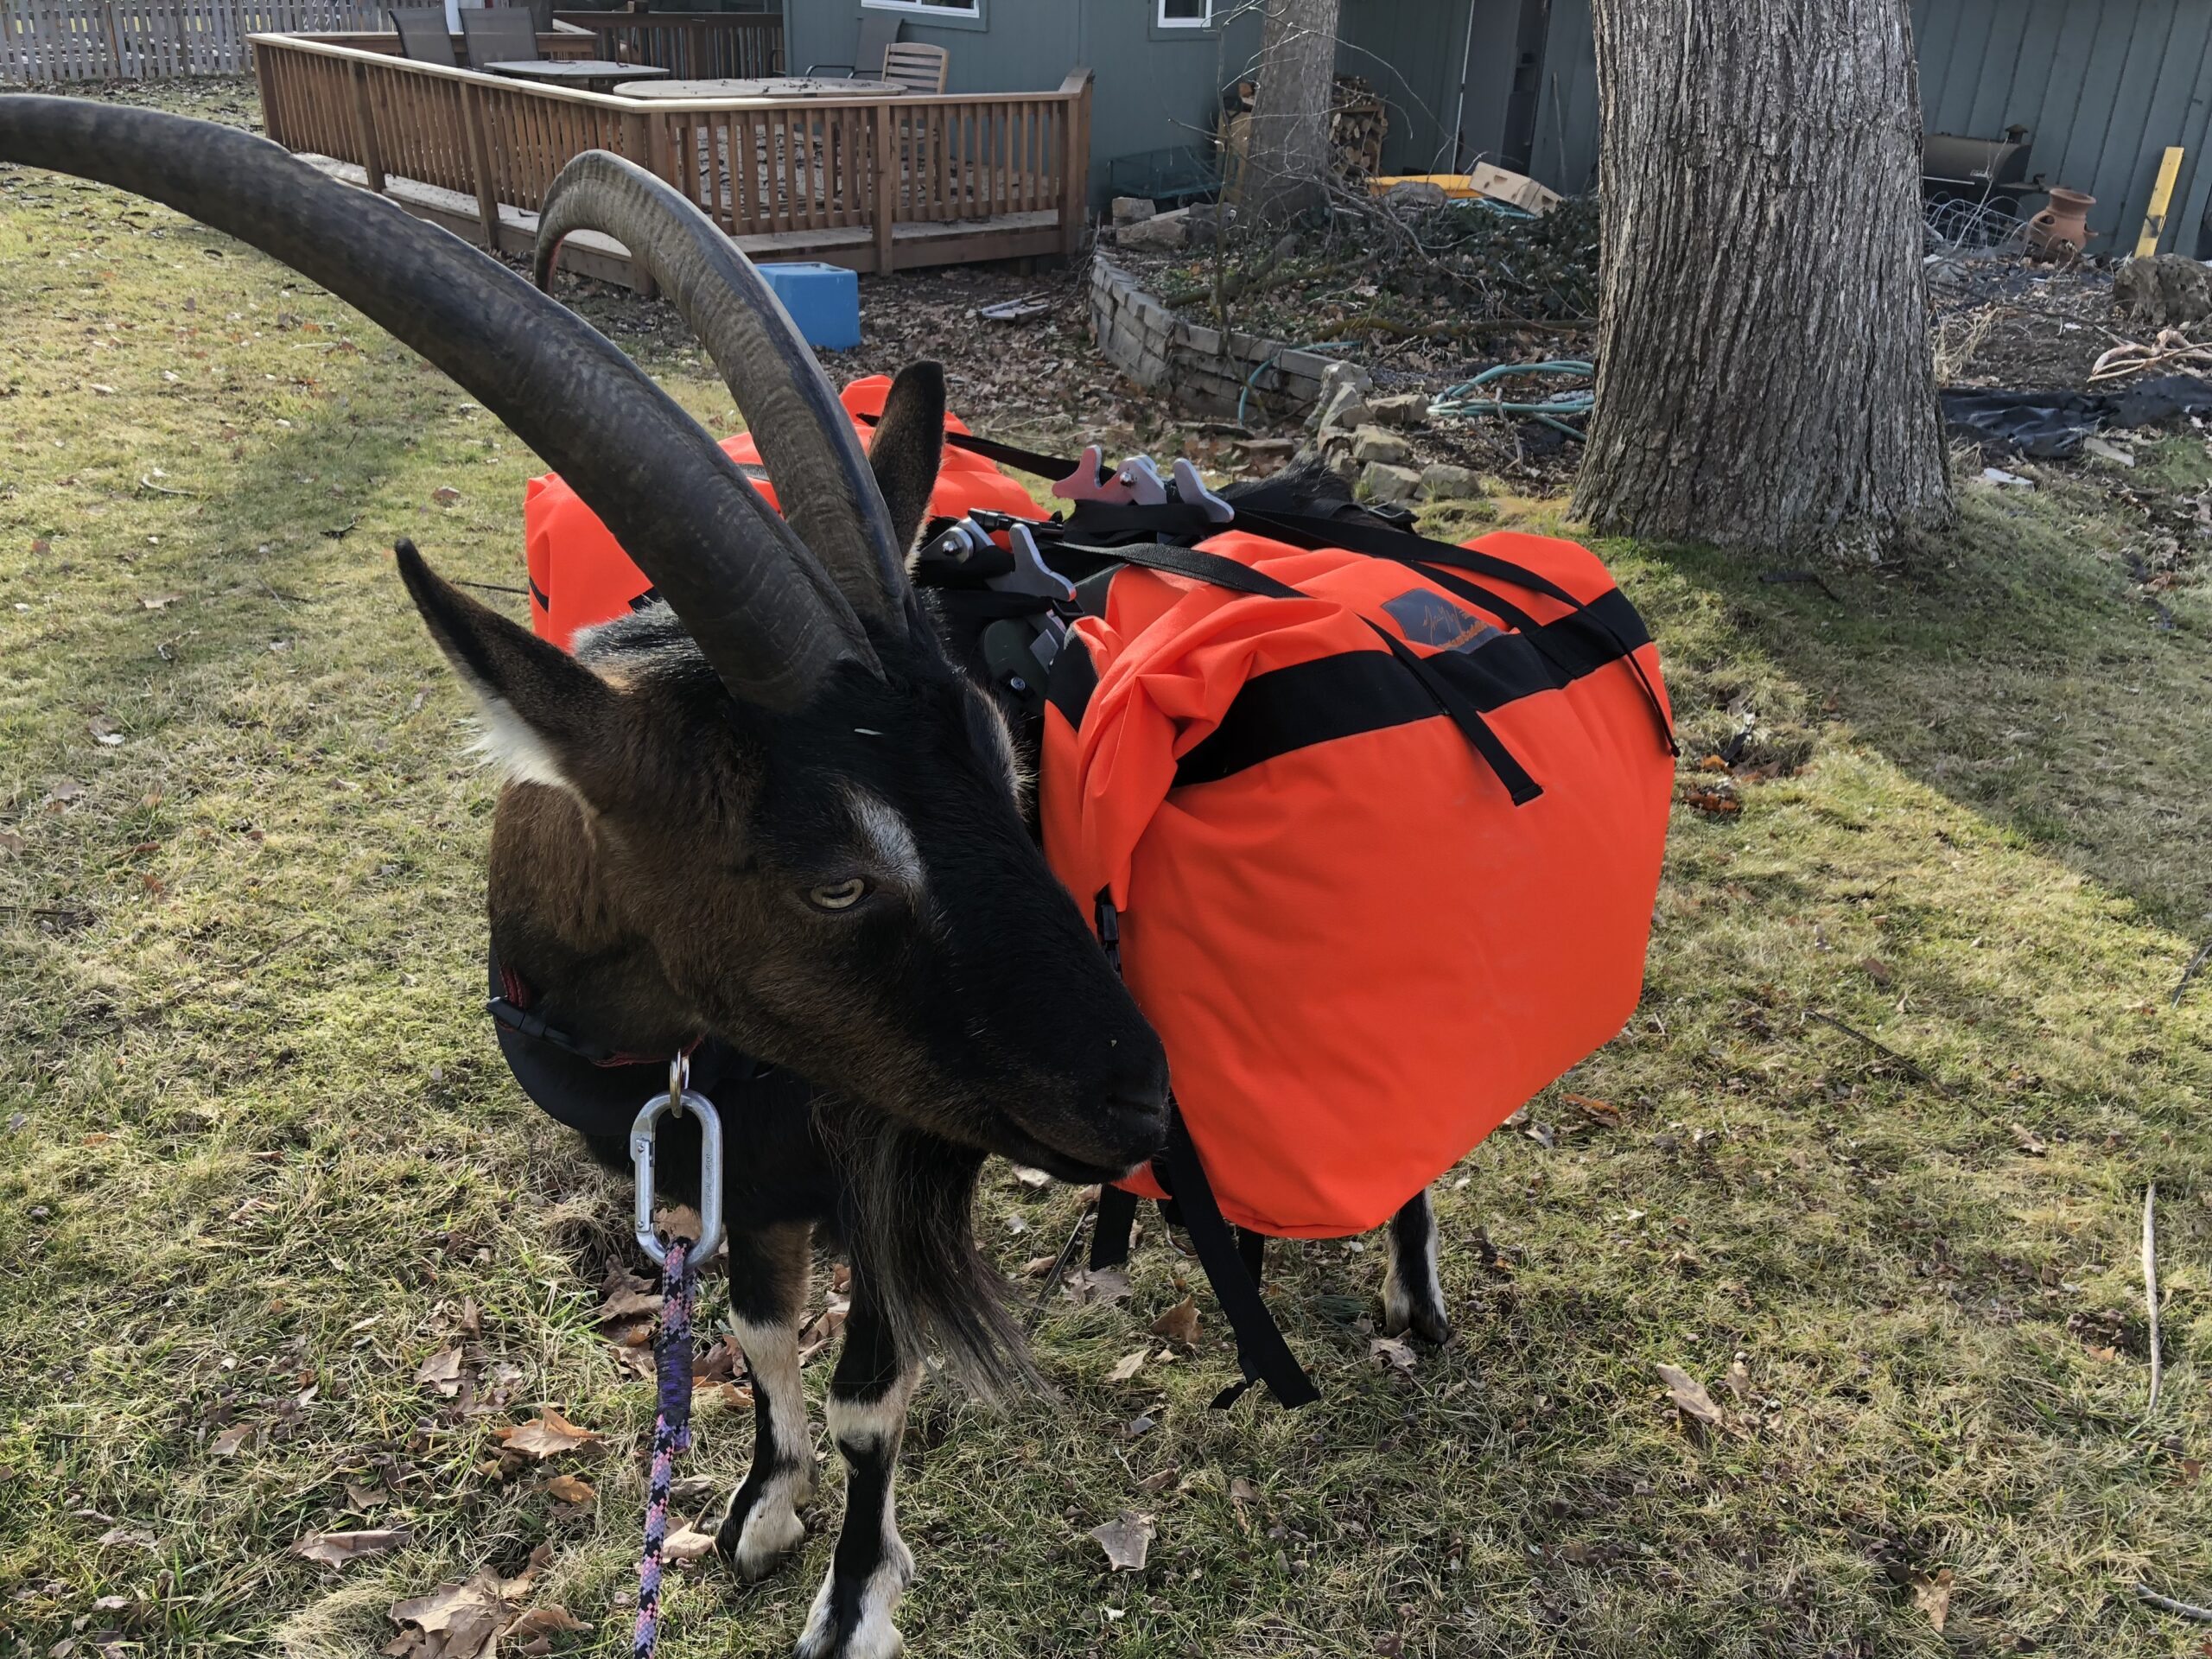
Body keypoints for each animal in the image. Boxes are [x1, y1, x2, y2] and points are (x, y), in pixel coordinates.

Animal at [0, 102, 1450, 1657]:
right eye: (831, 879)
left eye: (1000, 756)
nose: (1133, 1095)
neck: (689, 1055)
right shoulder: (729, 1180)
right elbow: (755, 1334)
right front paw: (762, 1504)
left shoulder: (890, 1154)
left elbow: (875, 1385)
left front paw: (850, 1598)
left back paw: (1414, 1295)